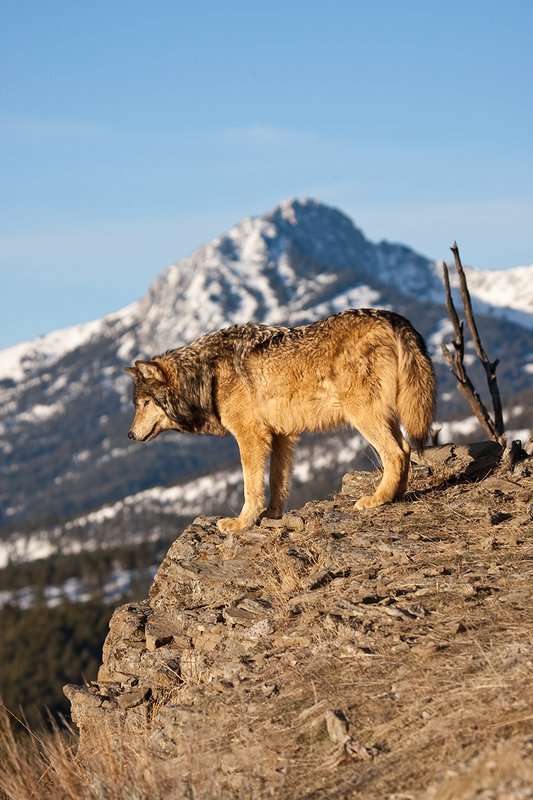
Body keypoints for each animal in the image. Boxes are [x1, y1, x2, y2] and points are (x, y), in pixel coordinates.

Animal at [125, 309, 436, 532]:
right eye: (136, 405)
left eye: (145, 403)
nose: (129, 435)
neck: (206, 374)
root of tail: (393, 318)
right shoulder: (282, 435)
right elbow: (277, 481)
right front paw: (272, 515)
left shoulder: (250, 436)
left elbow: (251, 486)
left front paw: (241, 523)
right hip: (384, 416)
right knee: (406, 449)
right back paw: (396, 494)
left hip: (363, 415)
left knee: (396, 452)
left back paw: (377, 499)